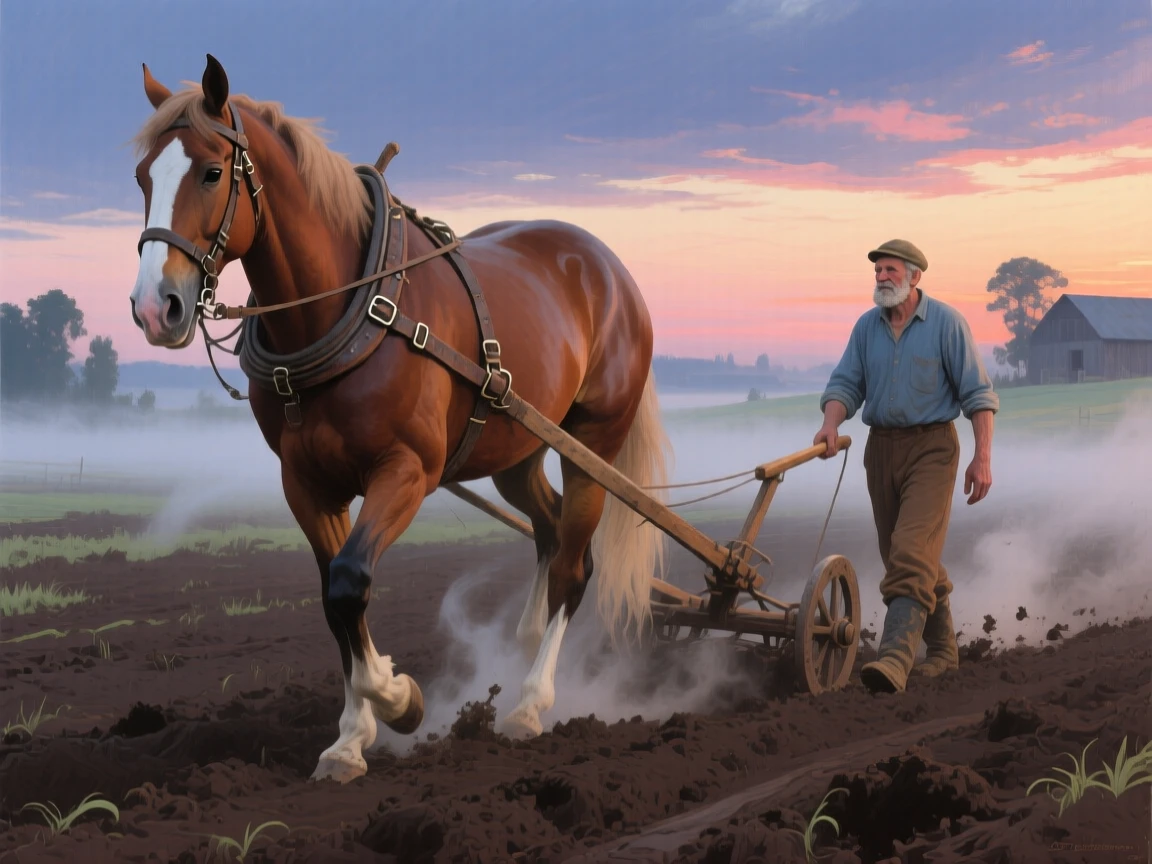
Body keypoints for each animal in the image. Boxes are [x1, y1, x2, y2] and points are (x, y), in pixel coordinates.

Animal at [128, 54, 671, 783]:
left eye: (212, 172)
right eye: (142, 177)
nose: (153, 308)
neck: (342, 312)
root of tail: (606, 264)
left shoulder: (407, 471)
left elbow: (351, 581)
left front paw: (399, 700)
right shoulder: (305, 482)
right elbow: (333, 597)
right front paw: (351, 735)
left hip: (593, 443)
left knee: (574, 566)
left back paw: (529, 704)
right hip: (517, 447)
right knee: (551, 531)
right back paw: (524, 641)